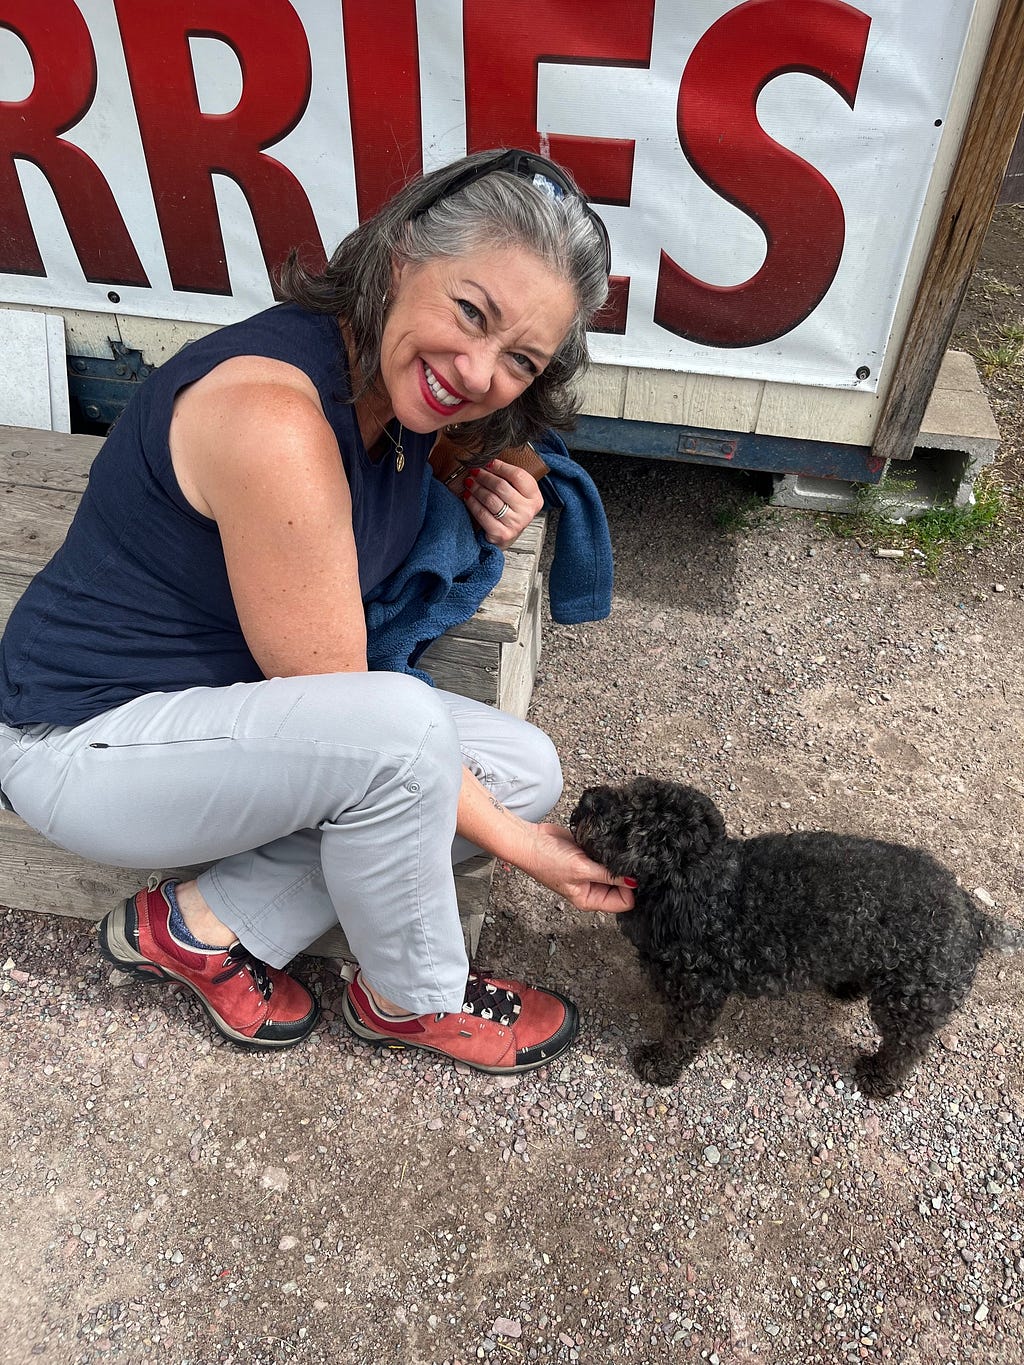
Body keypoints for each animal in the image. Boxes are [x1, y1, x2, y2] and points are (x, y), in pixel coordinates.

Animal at [570, 780, 1021, 1097]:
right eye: (630, 790)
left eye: (635, 829)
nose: (590, 801)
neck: (713, 888)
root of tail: (972, 913)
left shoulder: (697, 995)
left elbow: (683, 1036)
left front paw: (659, 1065)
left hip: (909, 1001)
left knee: (906, 1047)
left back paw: (879, 1078)